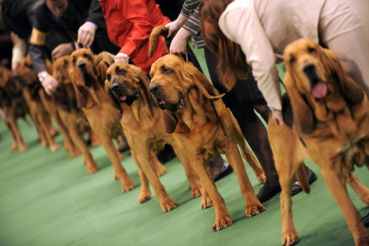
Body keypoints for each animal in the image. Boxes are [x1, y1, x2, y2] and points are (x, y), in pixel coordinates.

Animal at [68, 47, 134, 190]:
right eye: (74, 60)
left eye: (87, 56)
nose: (81, 65)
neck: (98, 98)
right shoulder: (104, 137)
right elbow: (117, 163)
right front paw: (126, 183)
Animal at [101, 53, 201, 211]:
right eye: (108, 77)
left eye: (121, 71)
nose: (114, 87)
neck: (142, 113)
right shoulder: (142, 154)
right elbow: (154, 182)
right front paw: (166, 203)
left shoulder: (175, 143)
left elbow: (188, 170)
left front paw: (197, 187)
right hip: (135, 155)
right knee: (142, 175)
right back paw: (144, 193)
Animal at [148, 53, 266, 231]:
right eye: (151, 75)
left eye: (167, 70)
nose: (152, 89)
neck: (196, 120)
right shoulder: (196, 158)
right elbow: (212, 189)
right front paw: (221, 218)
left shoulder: (230, 148)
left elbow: (243, 181)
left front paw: (252, 205)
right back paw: (205, 197)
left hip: (238, 131)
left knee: (248, 153)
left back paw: (262, 174)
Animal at [268, 37, 368, 245]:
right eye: (291, 60)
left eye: (313, 49)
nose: (308, 68)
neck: (337, 117)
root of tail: (275, 110)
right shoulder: (329, 172)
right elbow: (351, 214)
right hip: (285, 168)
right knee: (283, 199)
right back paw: (288, 232)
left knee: (349, 177)